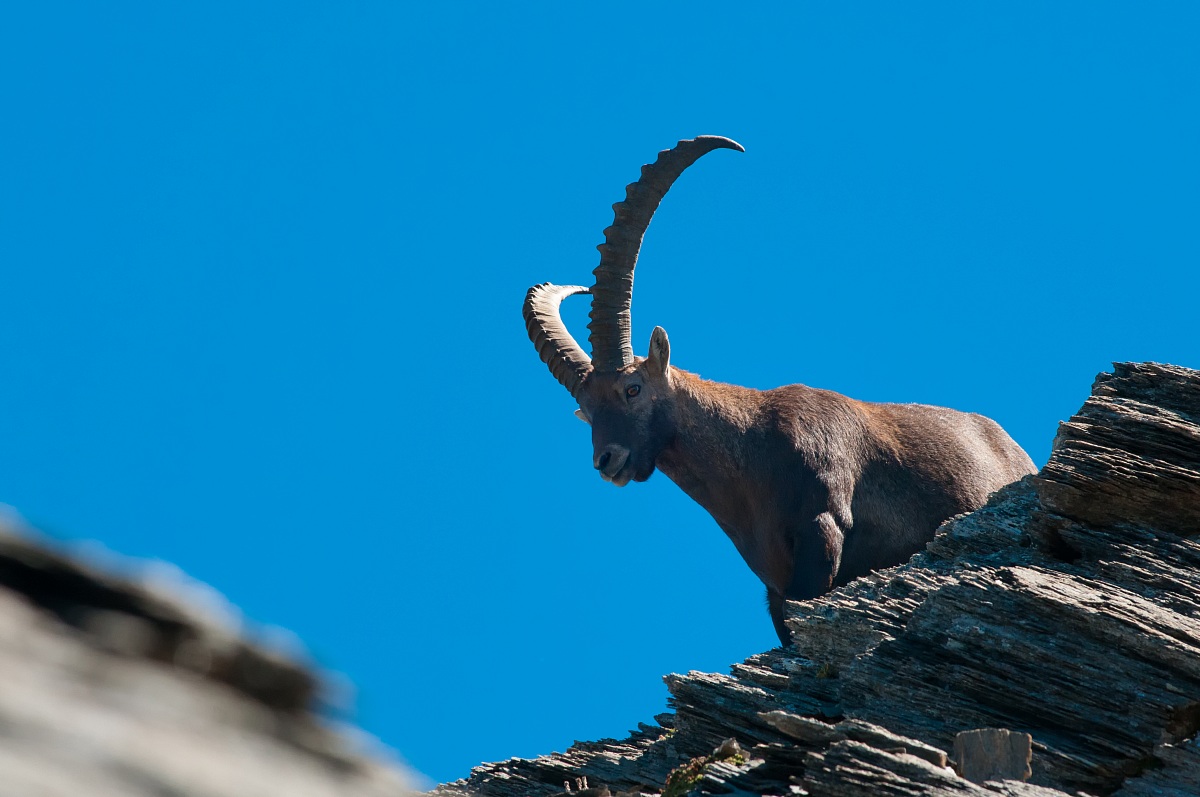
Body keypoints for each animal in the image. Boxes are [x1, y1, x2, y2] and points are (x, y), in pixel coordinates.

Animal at [523, 136, 1036, 645]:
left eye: (632, 388)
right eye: (586, 412)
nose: (607, 460)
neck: (751, 452)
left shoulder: (824, 528)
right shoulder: (773, 586)